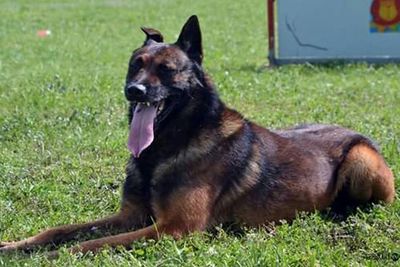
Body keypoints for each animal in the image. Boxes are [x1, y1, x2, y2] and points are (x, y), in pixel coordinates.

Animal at [0, 15, 394, 258]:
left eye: (166, 70)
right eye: (135, 65)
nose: (133, 91)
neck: (166, 147)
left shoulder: (173, 228)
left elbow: (92, 244)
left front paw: (55, 256)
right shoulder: (131, 216)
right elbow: (60, 230)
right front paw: (18, 245)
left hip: (362, 159)